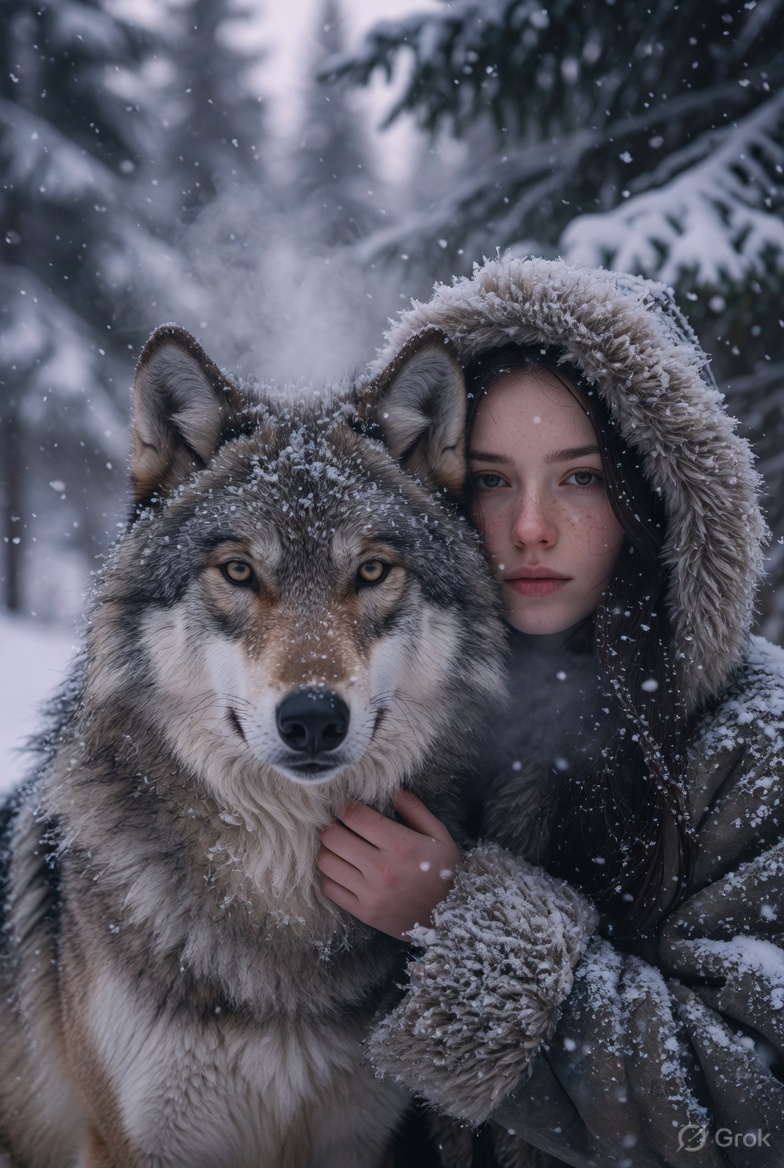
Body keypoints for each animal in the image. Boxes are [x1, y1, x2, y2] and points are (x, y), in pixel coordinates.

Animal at [0, 325, 505, 1168]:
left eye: (372, 570)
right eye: (238, 570)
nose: (314, 719)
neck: (280, 897)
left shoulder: (352, 1140)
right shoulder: (129, 1142)